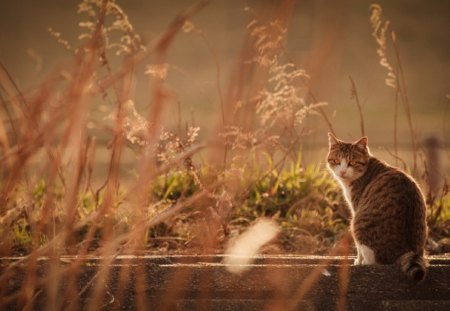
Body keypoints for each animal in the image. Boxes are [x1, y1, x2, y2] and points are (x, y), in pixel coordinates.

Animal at [326, 133, 428, 284]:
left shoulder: (356, 209)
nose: (343, 171)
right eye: (337, 161)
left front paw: (358, 261)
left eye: (352, 163)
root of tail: (404, 250)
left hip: (357, 223)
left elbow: (358, 249)